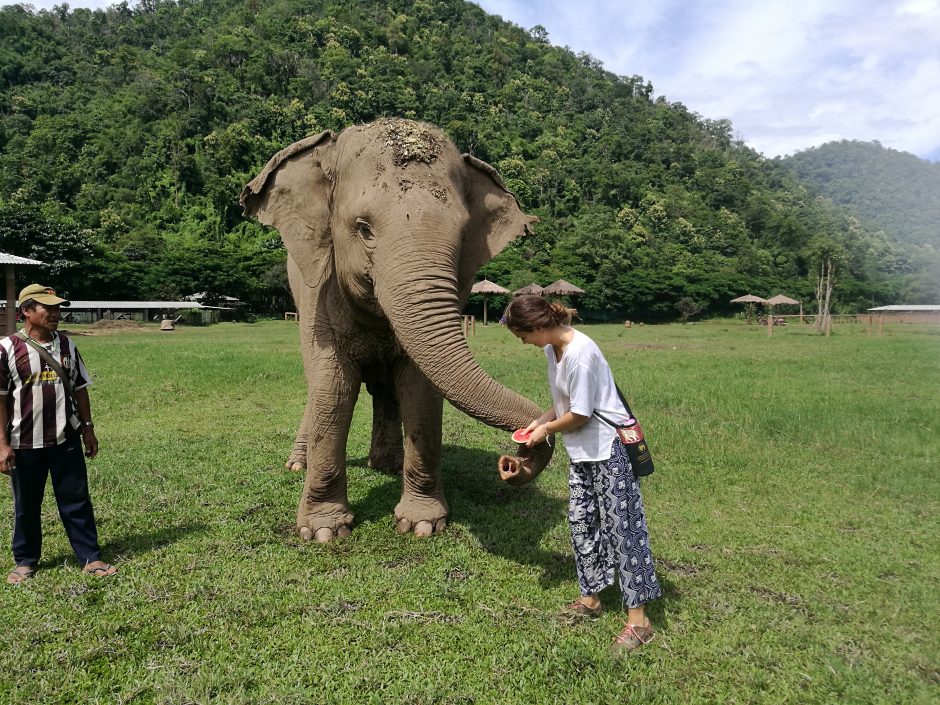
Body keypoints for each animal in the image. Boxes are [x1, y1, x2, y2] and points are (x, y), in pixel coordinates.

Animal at [239, 119, 556, 540]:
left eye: (462, 236)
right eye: (363, 228)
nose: (513, 460)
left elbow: (420, 389)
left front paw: (421, 524)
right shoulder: (321, 291)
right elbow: (333, 388)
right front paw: (324, 532)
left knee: (385, 391)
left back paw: (386, 465)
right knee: (317, 384)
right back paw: (298, 465)